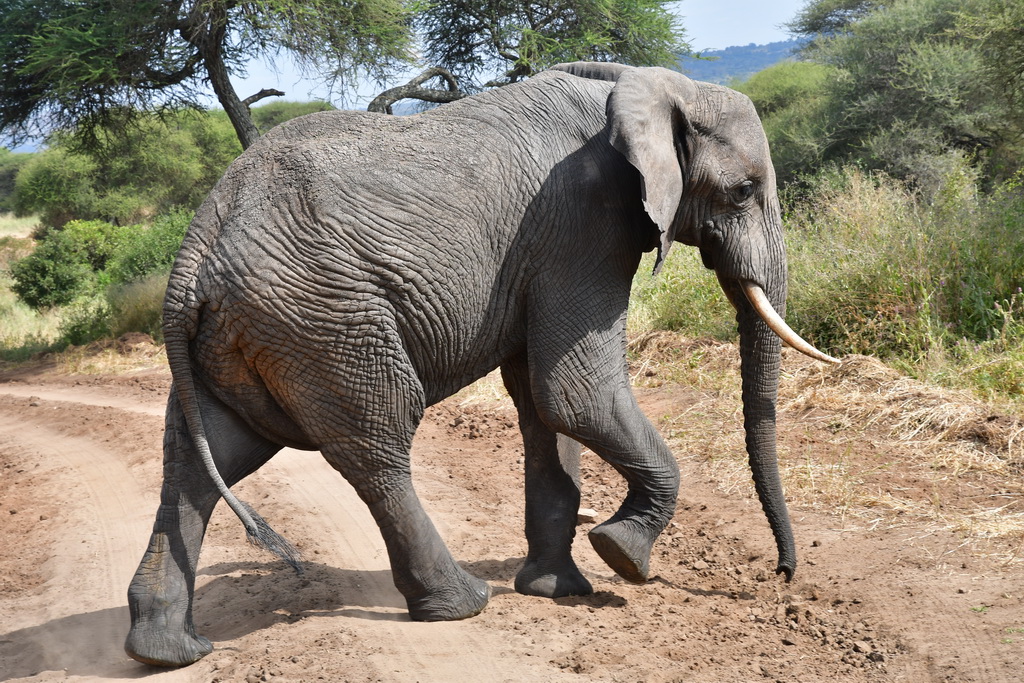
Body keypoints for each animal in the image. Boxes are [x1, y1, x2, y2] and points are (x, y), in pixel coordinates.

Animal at [123, 61, 835, 663]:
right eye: (742, 191)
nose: (783, 575)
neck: (645, 83)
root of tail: (195, 248)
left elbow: (540, 403)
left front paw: (557, 590)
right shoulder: (584, 227)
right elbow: (574, 392)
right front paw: (623, 557)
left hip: (242, 335)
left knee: (202, 456)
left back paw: (165, 651)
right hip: (323, 316)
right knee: (378, 445)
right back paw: (461, 603)